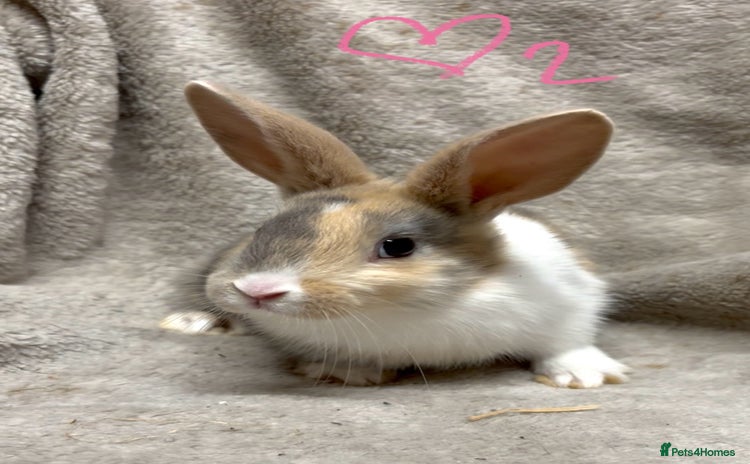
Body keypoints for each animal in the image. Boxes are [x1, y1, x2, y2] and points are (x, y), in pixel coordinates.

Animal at [161, 80, 630, 388]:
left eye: (398, 246)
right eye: (263, 227)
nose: (257, 291)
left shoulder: (574, 298)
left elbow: (566, 340)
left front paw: (584, 376)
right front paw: (345, 373)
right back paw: (191, 323)